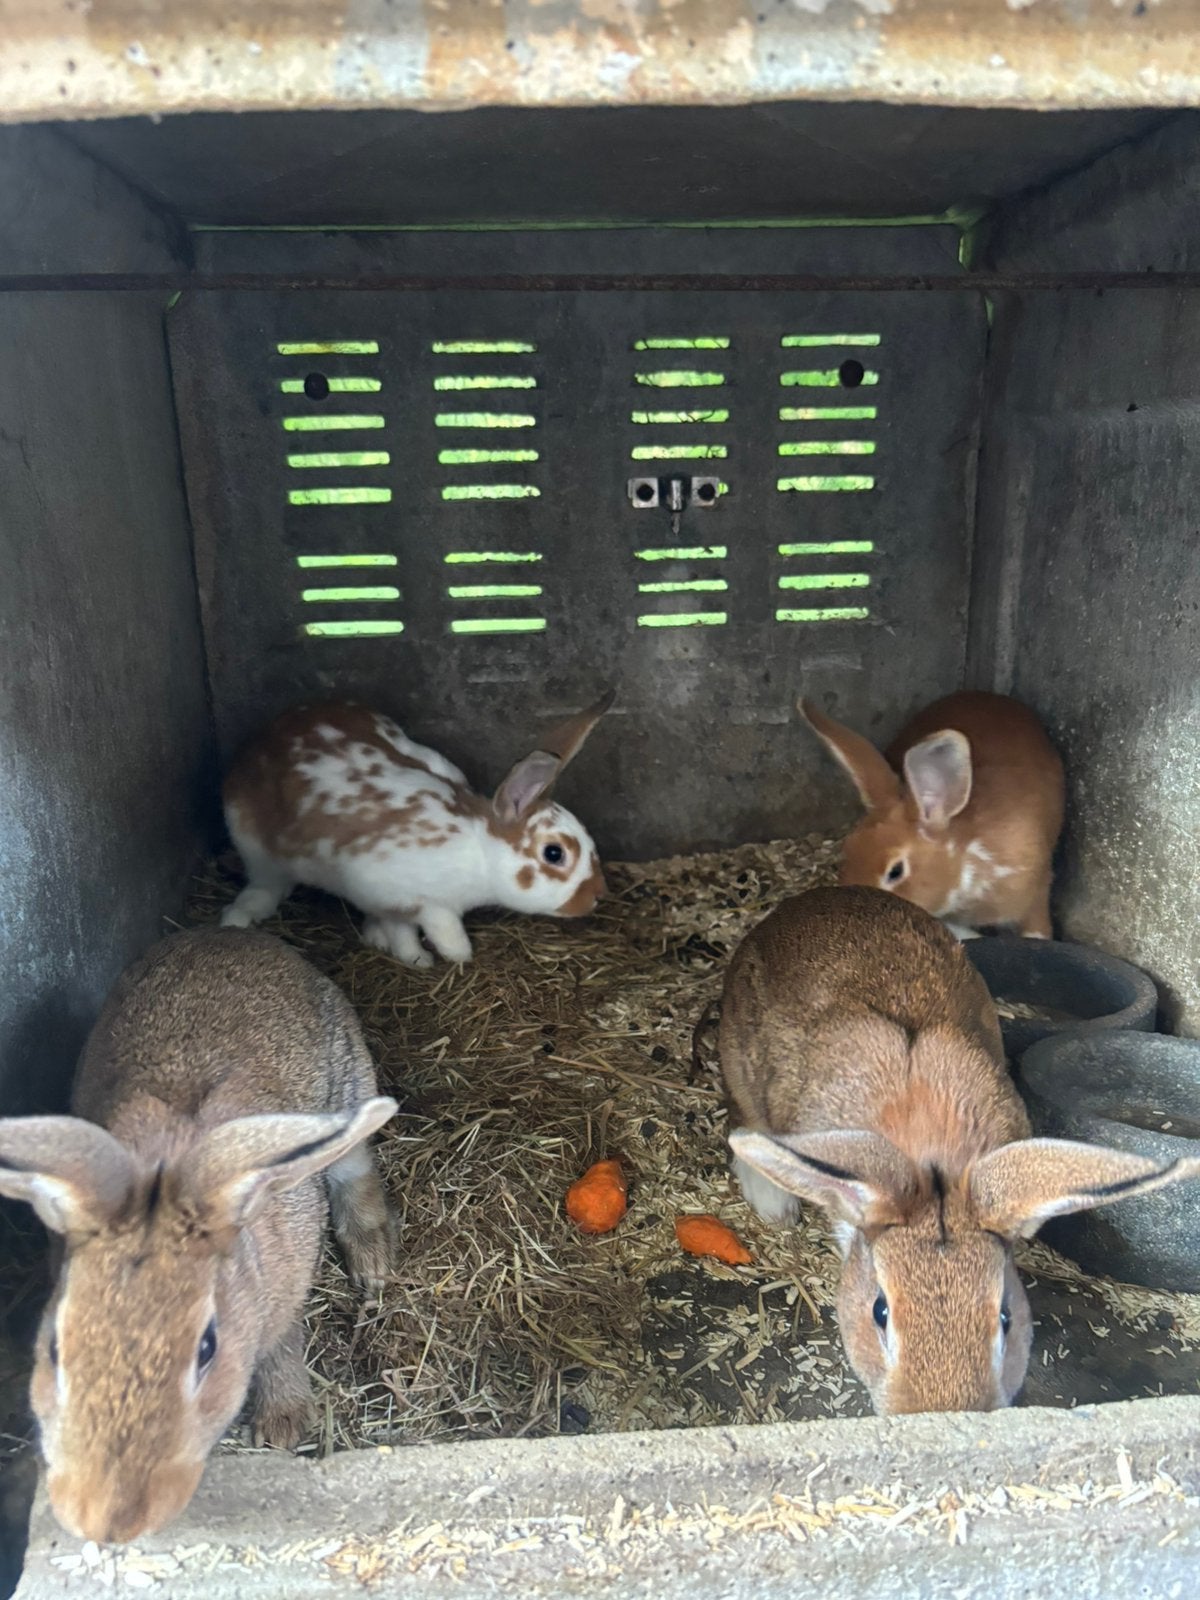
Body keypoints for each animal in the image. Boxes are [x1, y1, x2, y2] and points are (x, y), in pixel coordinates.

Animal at [0, 927, 397, 1545]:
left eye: (207, 1347)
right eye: (55, 1347)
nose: (105, 1522)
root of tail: (234, 935)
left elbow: (282, 1344)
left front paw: (283, 1426)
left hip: (347, 1092)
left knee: (355, 1171)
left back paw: (373, 1265)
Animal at [220, 690, 614, 967]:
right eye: (554, 853)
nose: (598, 895)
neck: (477, 850)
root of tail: (259, 739)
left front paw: (391, 944)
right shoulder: (393, 892)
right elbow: (428, 927)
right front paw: (432, 958)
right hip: (254, 847)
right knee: (265, 885)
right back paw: (237, 919)